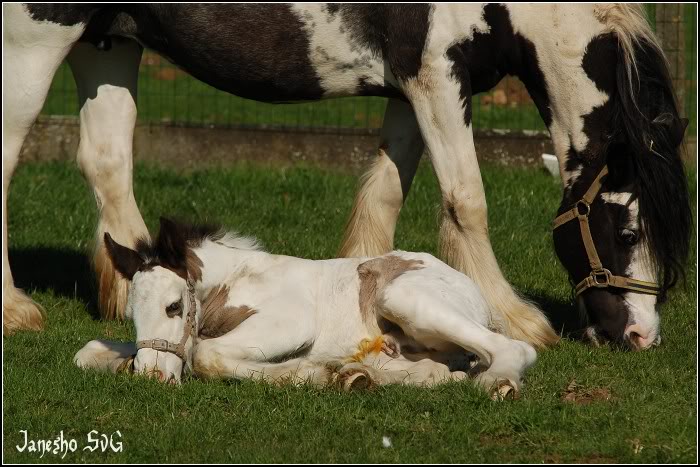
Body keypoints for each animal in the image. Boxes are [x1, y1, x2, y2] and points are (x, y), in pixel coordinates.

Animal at [2, 4, 688, 352]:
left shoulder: (410, 88)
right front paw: (519, 320)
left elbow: (386, 192)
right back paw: (16, 309)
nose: (640, 336)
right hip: (33, 44)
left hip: (107, 41)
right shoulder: (437, 75)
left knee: (107, 160)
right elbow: (466, 198)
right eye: (628, 231)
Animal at [74, 219, 540, 398]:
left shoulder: (292, 321)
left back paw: (499, 383)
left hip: (402, 297)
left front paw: (306, 372)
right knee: (443, 370)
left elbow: (205, 354)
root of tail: (473, 289)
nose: (151, 377)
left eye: (174, 307)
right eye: (131, 317)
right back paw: (358, 375)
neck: (236, 277)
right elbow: (85, 352)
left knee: (514, 350)